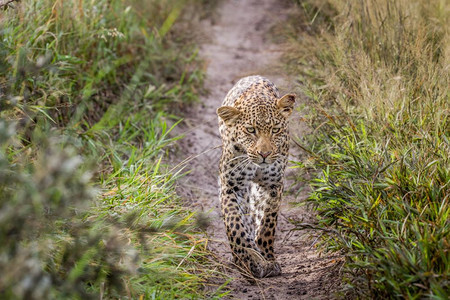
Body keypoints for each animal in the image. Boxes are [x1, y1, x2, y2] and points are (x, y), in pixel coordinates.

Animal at [217, 75, 296, 278]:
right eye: (251, 130)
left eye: (275, 130)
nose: (264, 154)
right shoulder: (231, 185)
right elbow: (235, 223)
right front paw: (248, 259)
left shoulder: (273, 185)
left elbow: (267, 222)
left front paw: (267, 258)